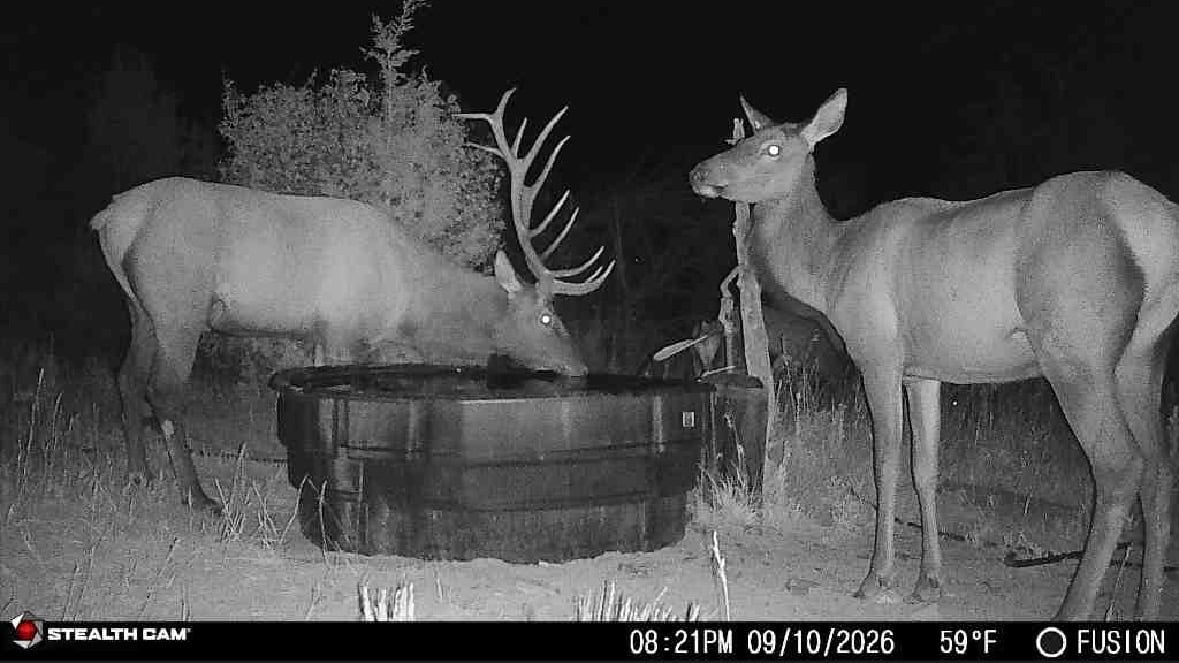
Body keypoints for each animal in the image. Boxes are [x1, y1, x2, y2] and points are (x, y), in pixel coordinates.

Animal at [92, 88, 613, 512]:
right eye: (547, 318)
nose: (580, 369)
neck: (407, 298)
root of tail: (111, 219)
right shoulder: (343, 328)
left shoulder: (326, 335)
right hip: (179, 303)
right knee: (164, 391)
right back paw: (197, 497)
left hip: (139, 306)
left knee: (126, 378)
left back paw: (139, 474)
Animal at [690, 88, 1179, 620]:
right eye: (745, 138)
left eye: (773, 148)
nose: (700, 172)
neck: (829, 267)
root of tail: (1158, 227)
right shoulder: (923, 372)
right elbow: (925, 469)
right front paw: (928, 583)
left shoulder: (878, 353)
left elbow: (885, 462)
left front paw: (877, 578)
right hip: (1141, 357)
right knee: (1159, 467)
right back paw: (1146, 609)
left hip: (1075, 347)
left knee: (1119, 466)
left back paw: (1072, 610)